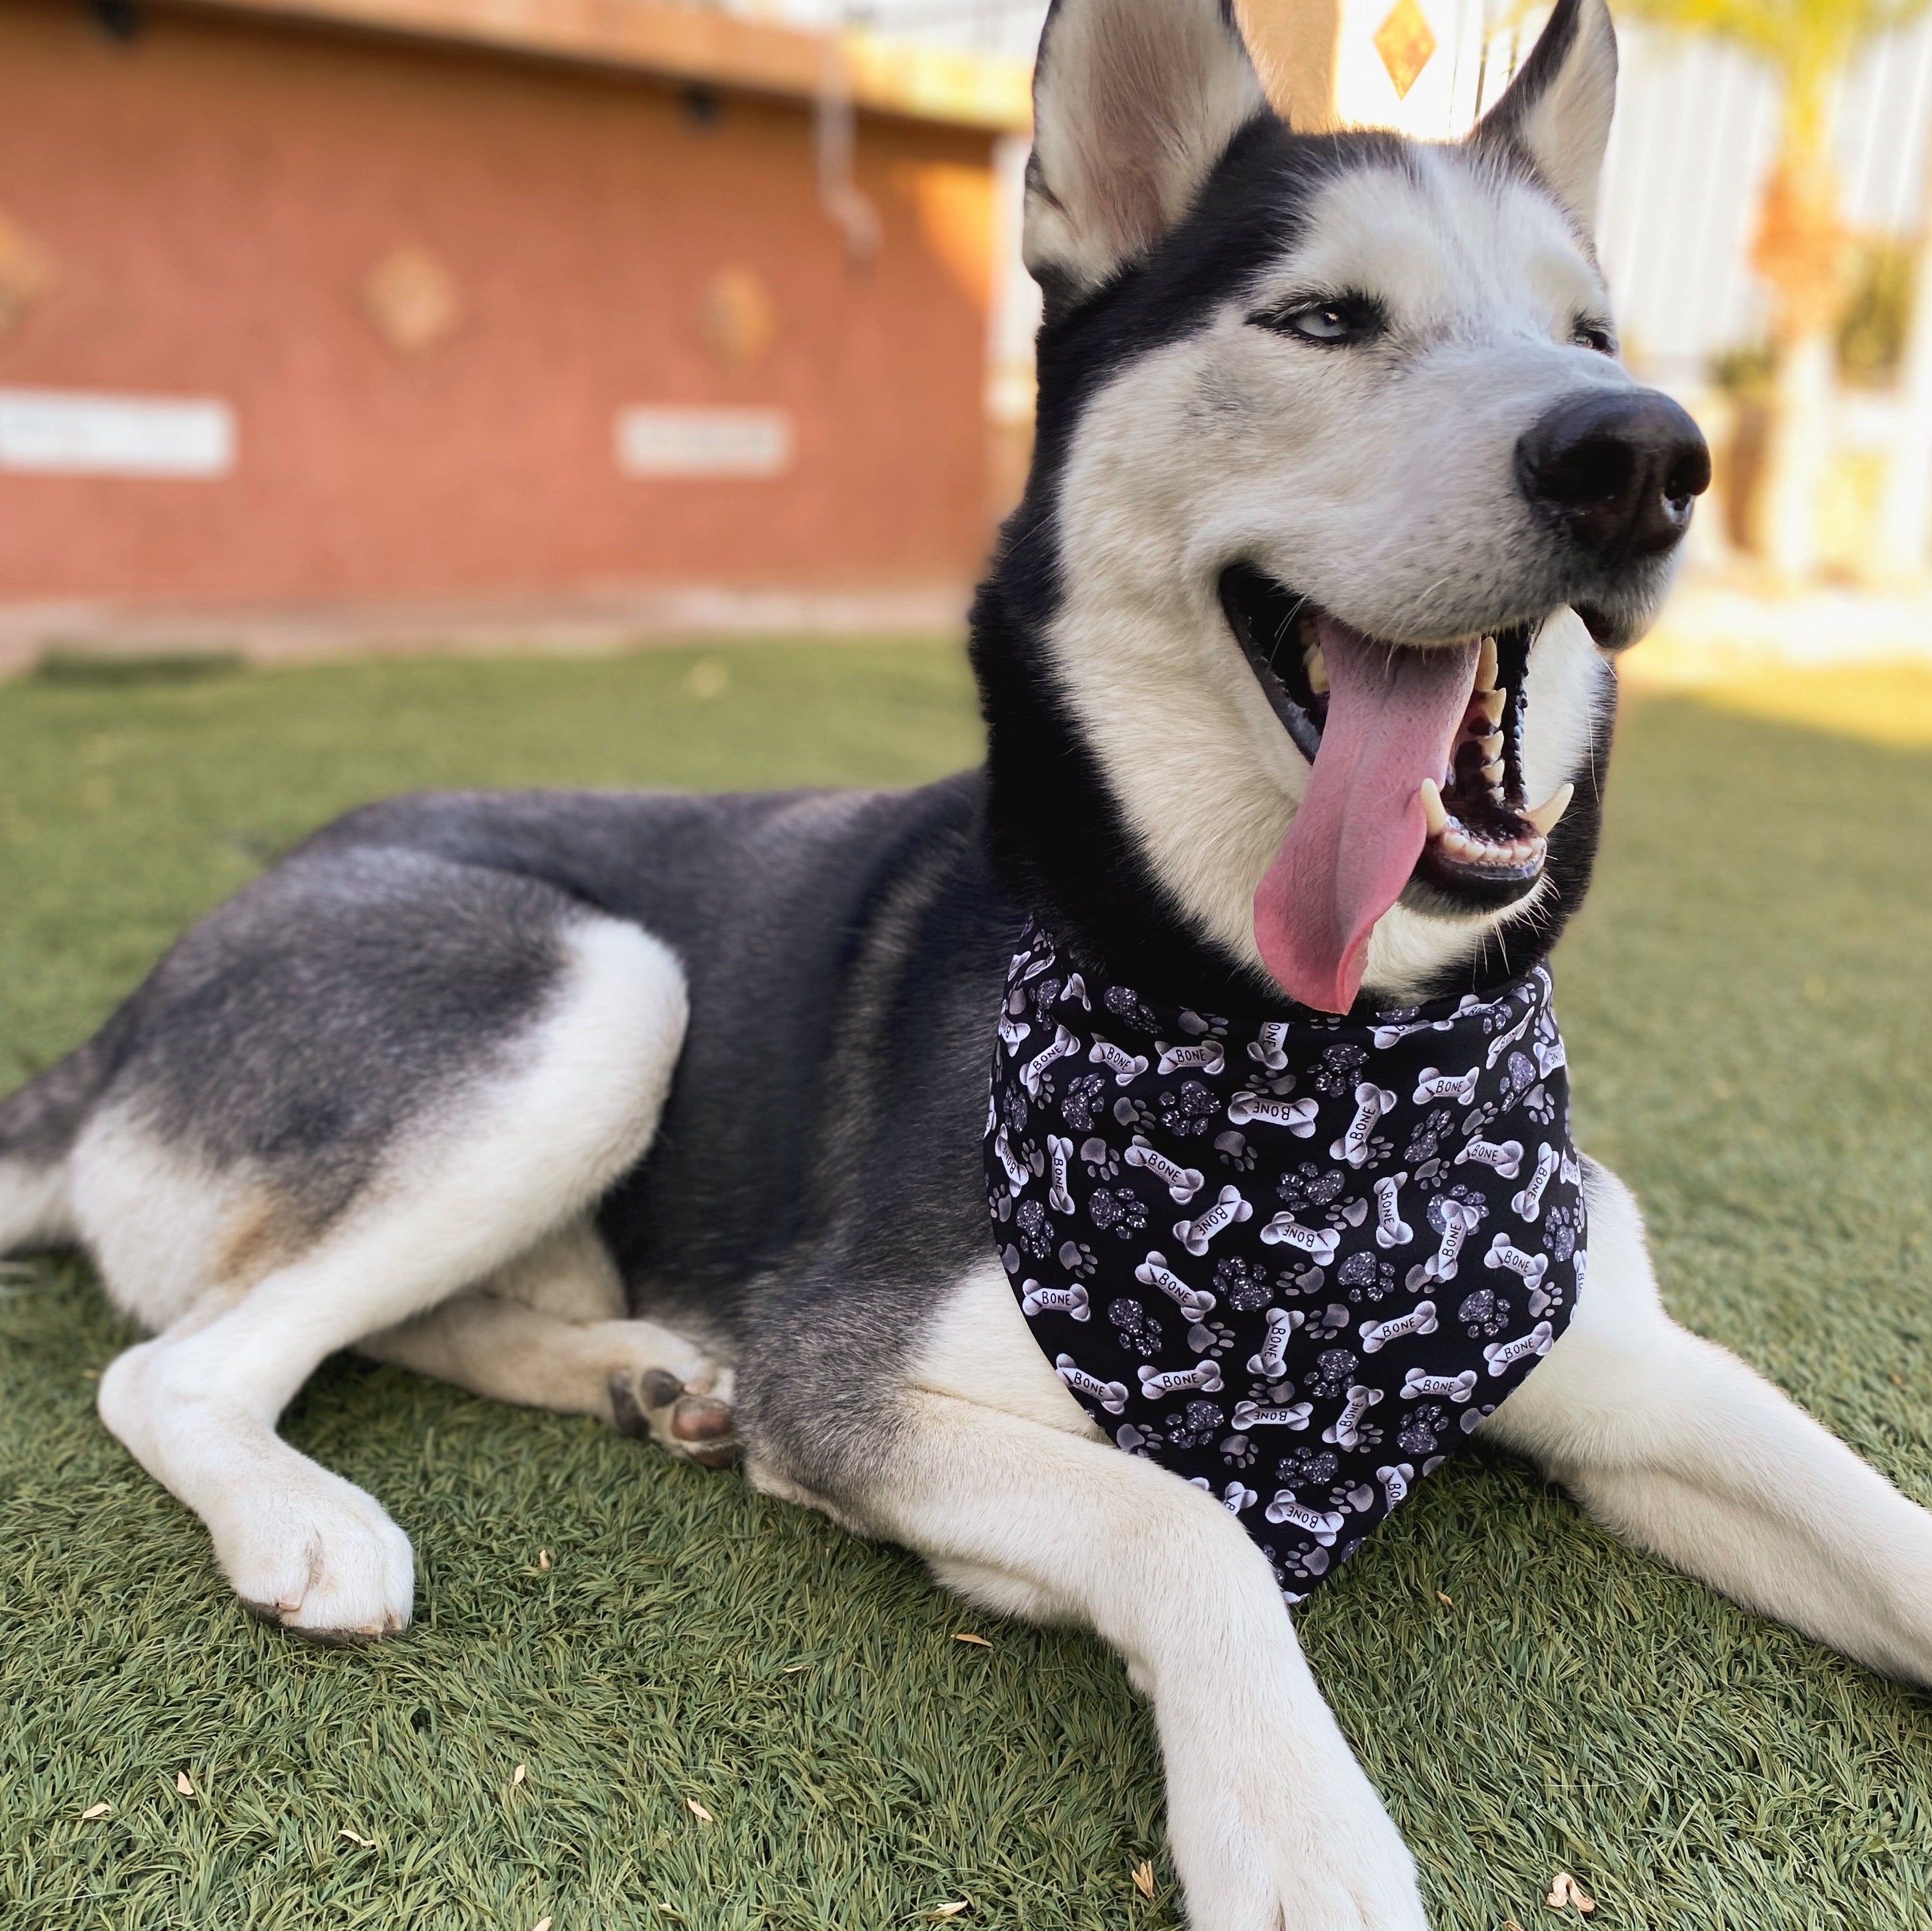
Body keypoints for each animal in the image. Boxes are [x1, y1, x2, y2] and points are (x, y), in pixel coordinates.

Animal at [3, 3, 1932, 1915]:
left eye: (1589, 334)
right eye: (1322, 319)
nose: (1642, 456)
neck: (1319, 1051)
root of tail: (128, 1012)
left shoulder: (1622, 1363)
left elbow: (1885, 1533)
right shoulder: (852, 1375)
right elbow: (1191, 1516)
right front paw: (1299, 1831)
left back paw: (645, 1376)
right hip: (603, 990)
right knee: (176, 1365)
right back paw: (315, 1508)